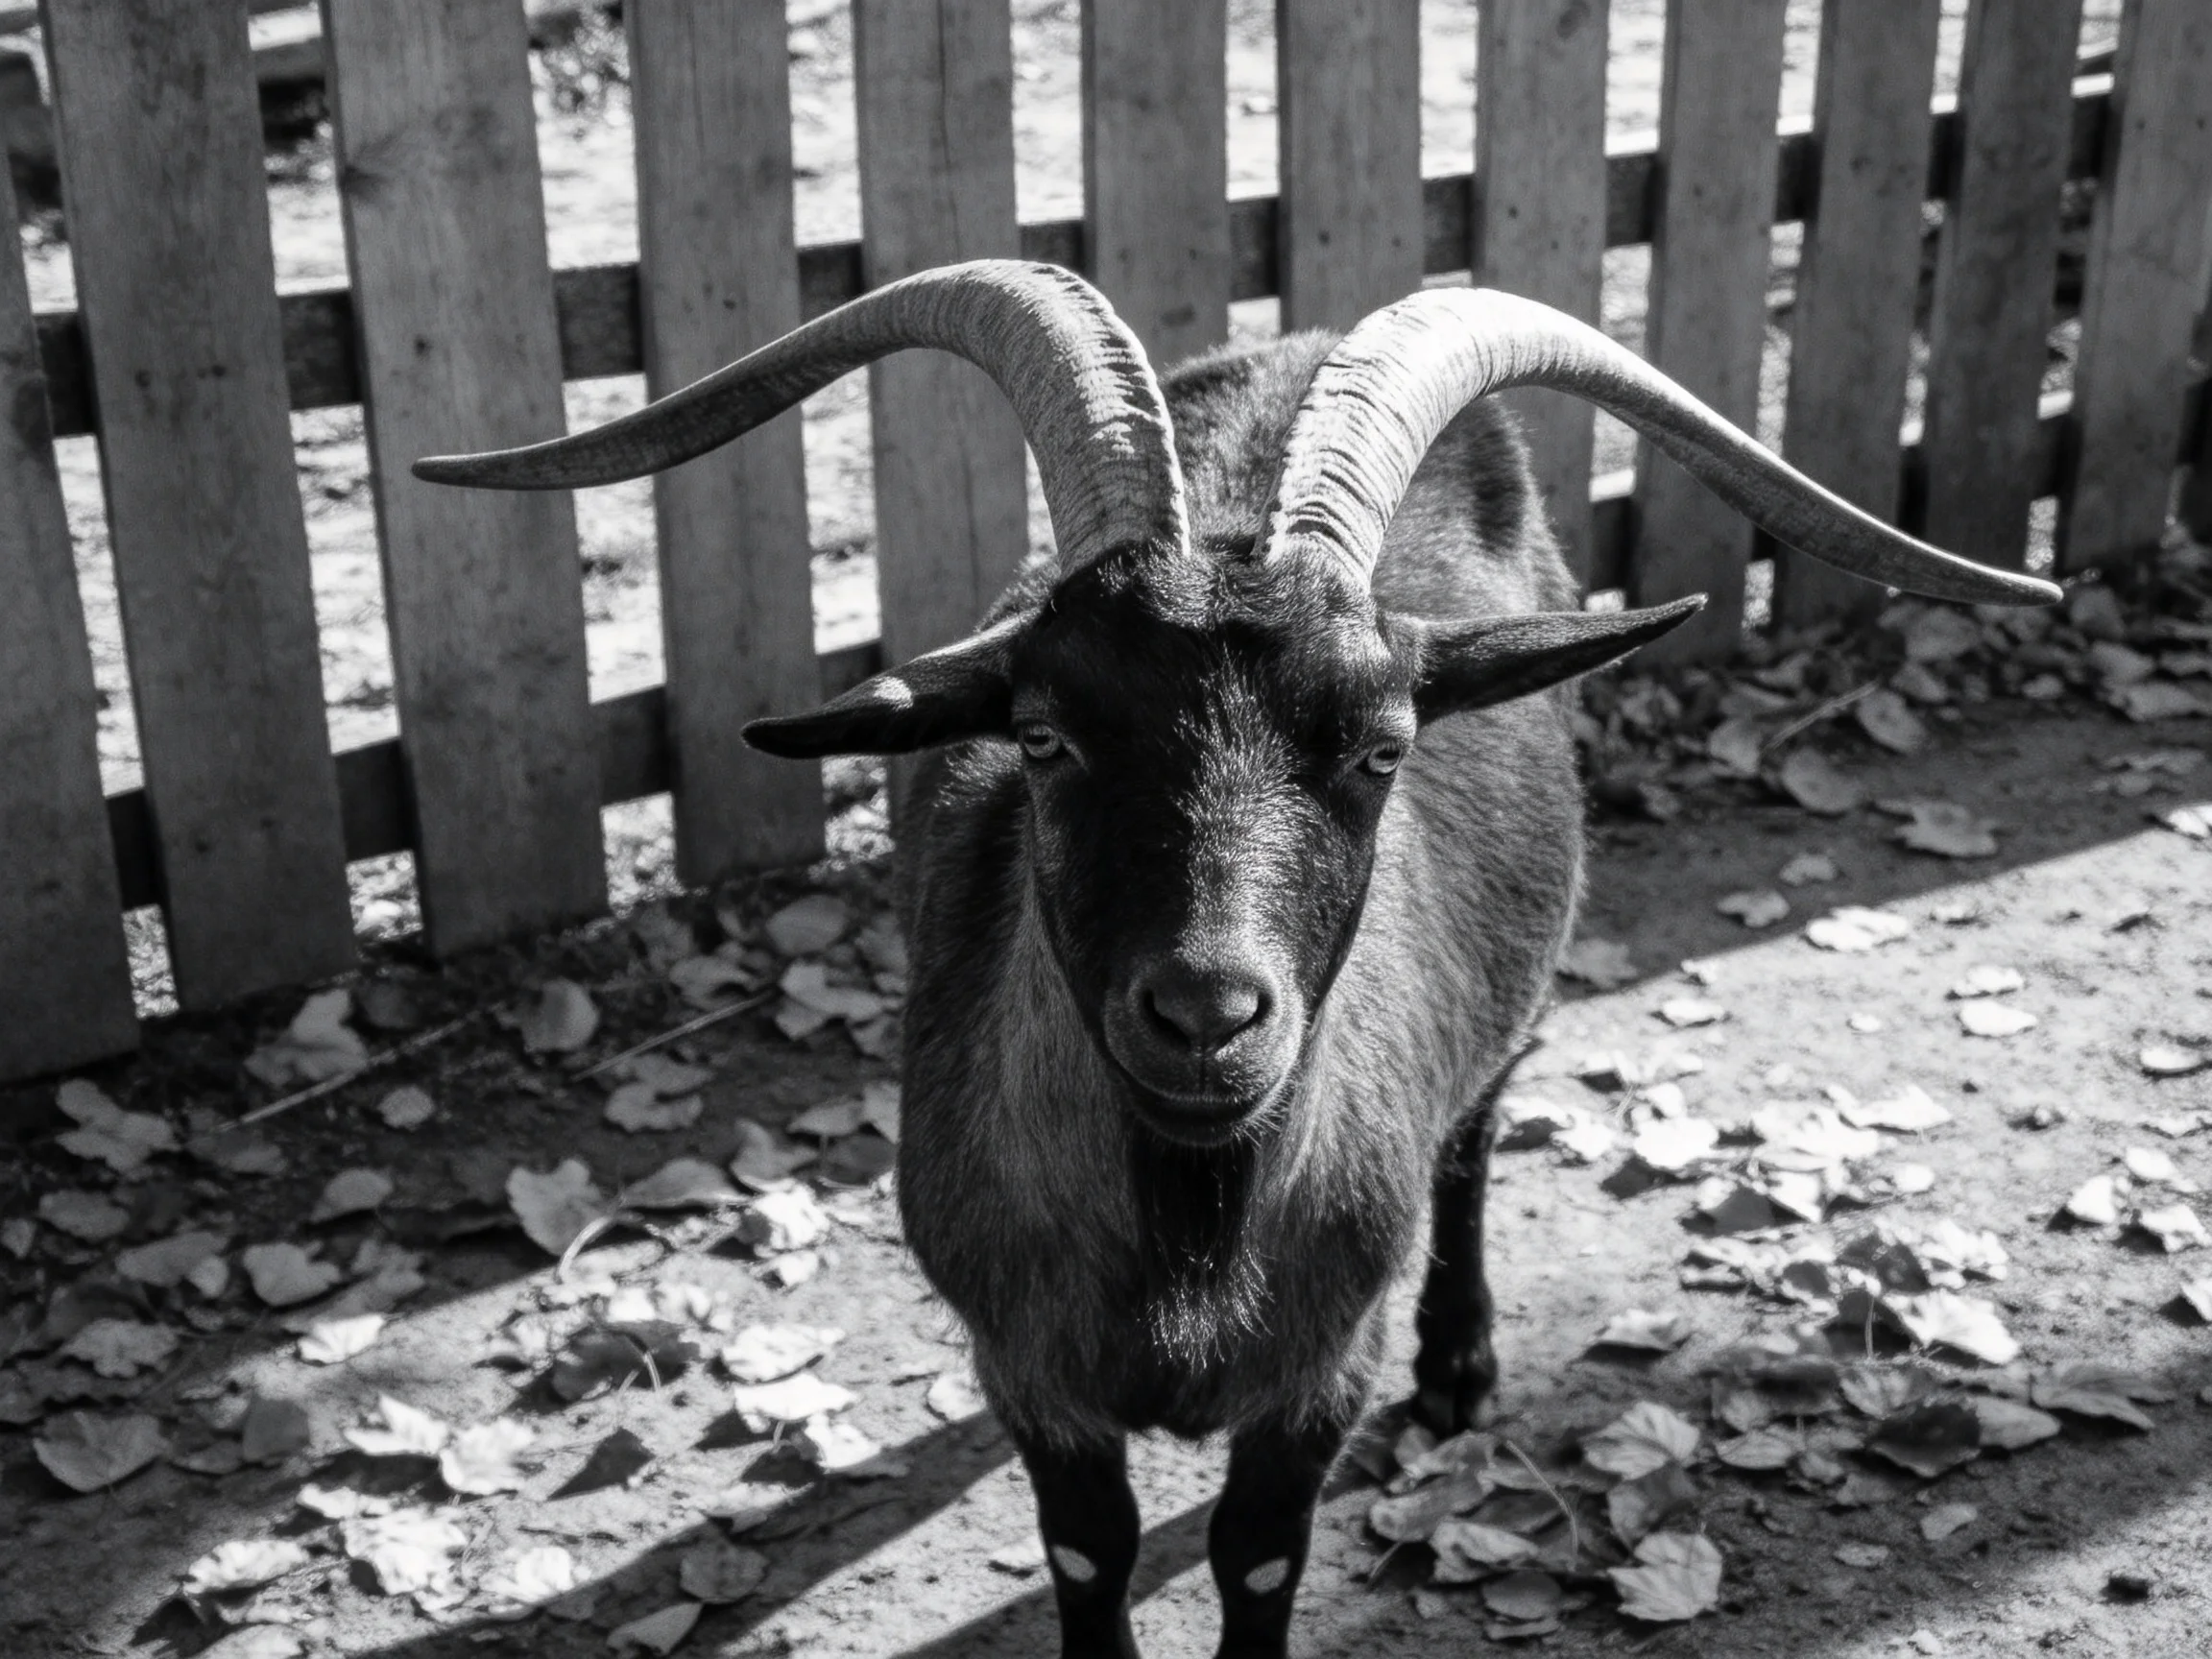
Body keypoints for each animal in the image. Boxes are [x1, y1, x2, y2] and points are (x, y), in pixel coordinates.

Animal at [419, 261, 2054, 1657]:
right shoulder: (1032, 1373)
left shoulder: (1314, 1375)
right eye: (1042, 735)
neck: (1189, 1233)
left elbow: (1256, 1559)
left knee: (1475, 1139)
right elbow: (1088, 1554)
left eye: (1383, 746)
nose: (1207, 1016)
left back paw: (1461, 1369)